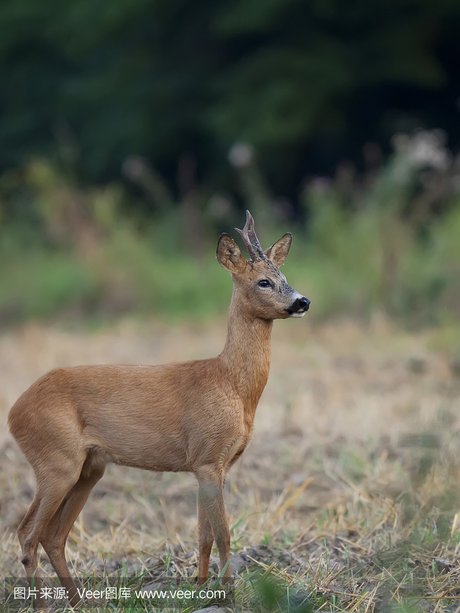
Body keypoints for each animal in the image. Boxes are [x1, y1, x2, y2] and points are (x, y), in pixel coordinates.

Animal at [8, 209, 310, 604]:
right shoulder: (208, 456)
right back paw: (44, 606)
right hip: (56, 460)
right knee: (28, 533)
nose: (302, 301)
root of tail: (14, 412)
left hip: (89, 467)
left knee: (53, 535)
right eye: (263, 281)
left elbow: (204, 535)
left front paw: (199, 588)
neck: (231, 384)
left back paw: (77, 603)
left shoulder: (210, 465)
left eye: (284, 277)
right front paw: (229, 595)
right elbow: (224, 535)